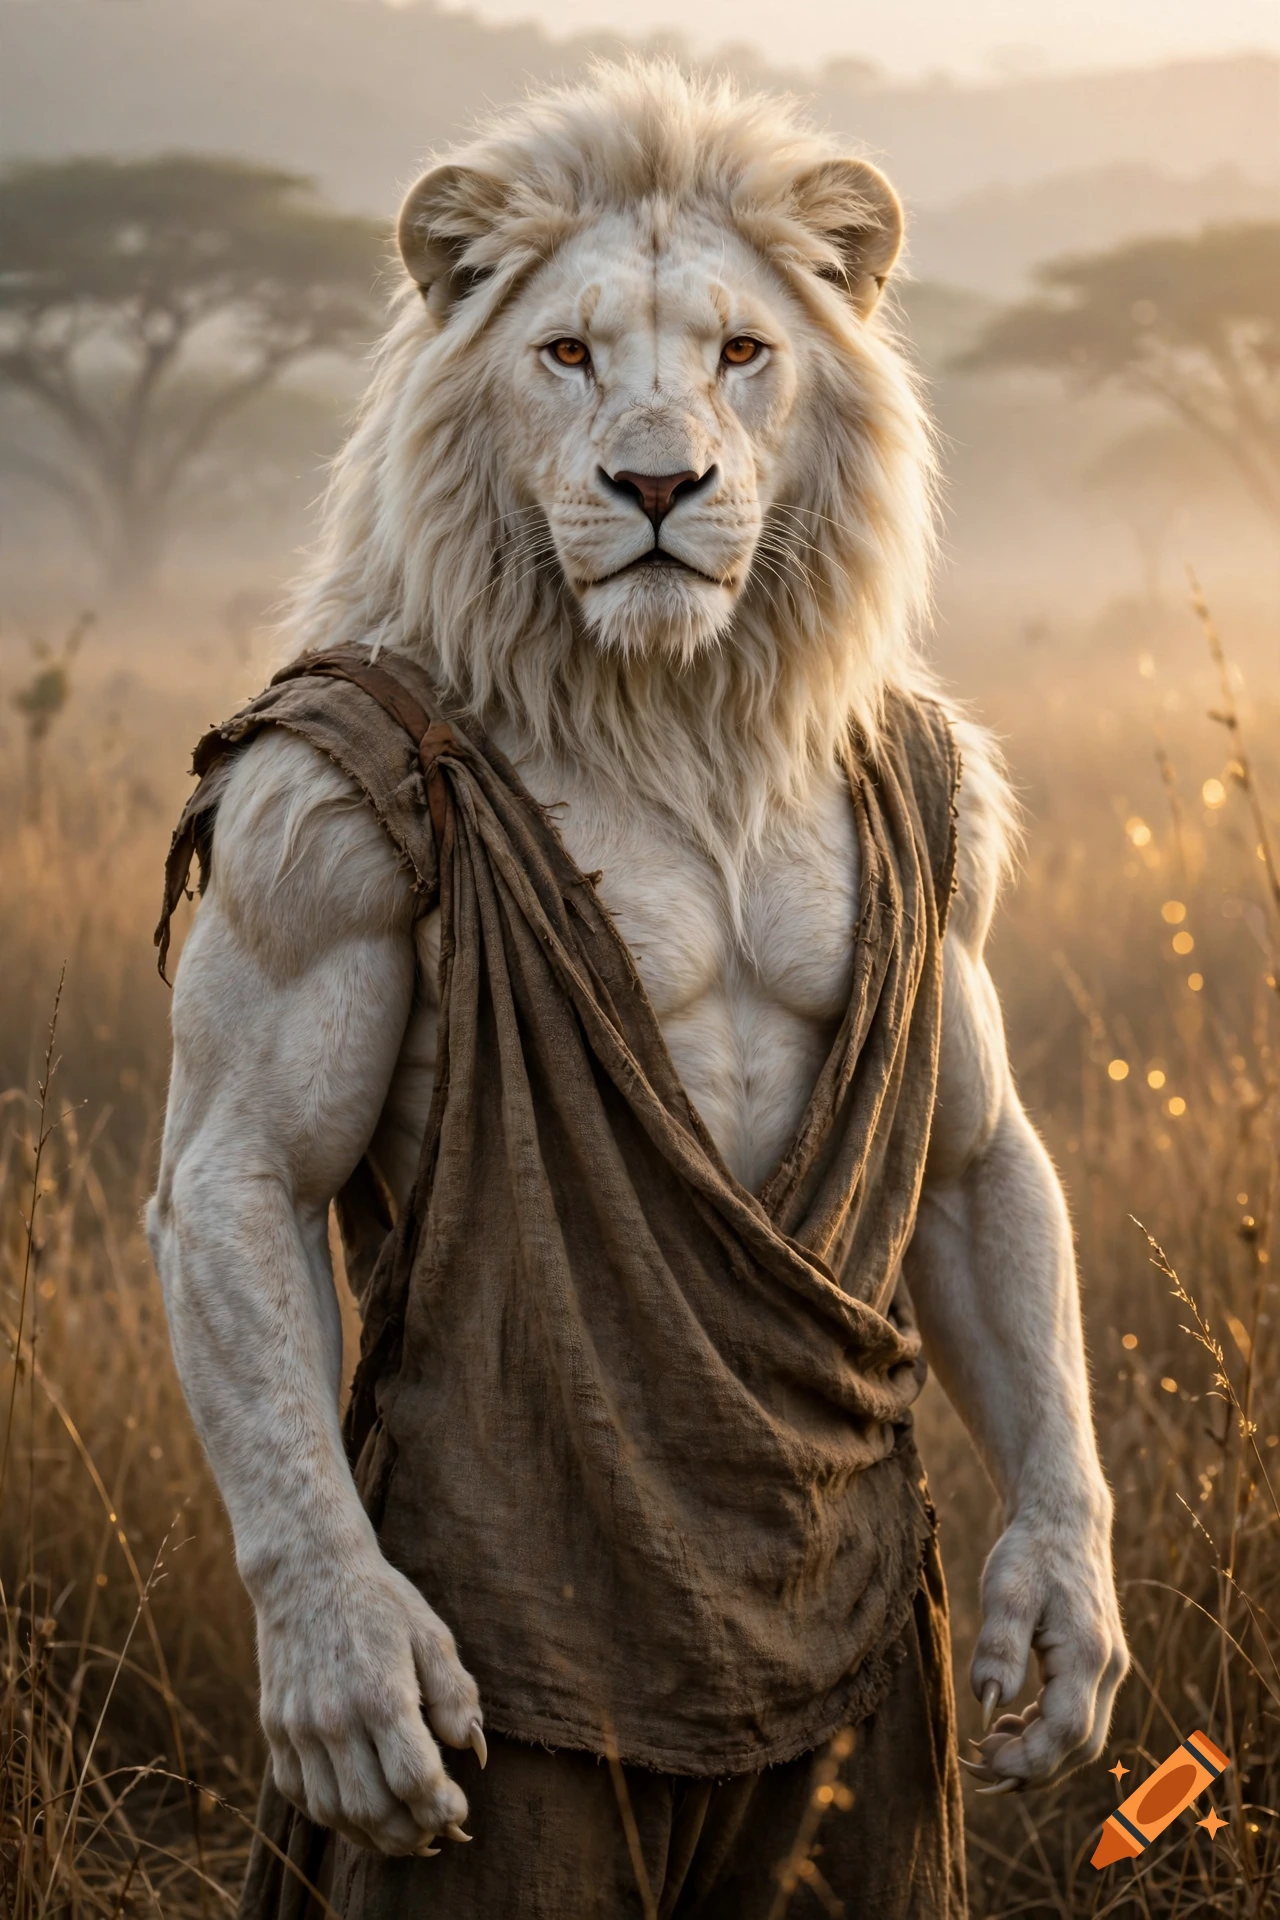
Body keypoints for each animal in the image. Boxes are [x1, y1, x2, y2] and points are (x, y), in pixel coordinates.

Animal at [147, 62, 1127, 1920]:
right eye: (568, 355)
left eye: (741, 352)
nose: (660, 483)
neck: (677, 705)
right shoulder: (305, 823)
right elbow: (247, 1171)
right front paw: (348, 1669)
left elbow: (978, 1160)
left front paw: (1060, 1610)